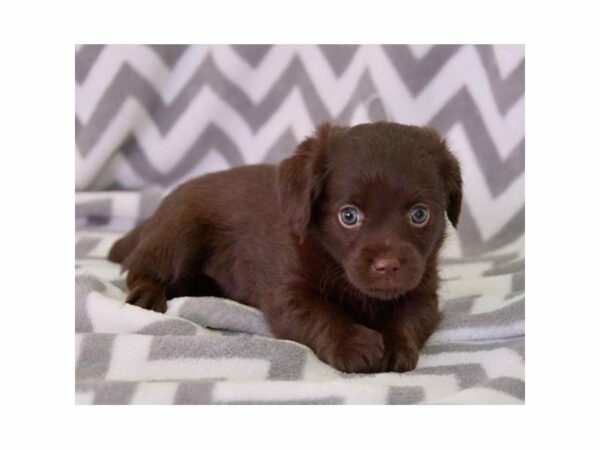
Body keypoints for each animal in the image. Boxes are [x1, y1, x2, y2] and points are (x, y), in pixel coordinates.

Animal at [109, 121, 464, 374]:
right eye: (348, 215)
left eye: (419, 214)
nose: (388, 265)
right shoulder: (288, 293)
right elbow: (322, 313)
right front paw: (352, 343)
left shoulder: (423, 291)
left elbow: (408, 316)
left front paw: (393, 344)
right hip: (179, 234)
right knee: (140, 268)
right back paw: (147, 295)